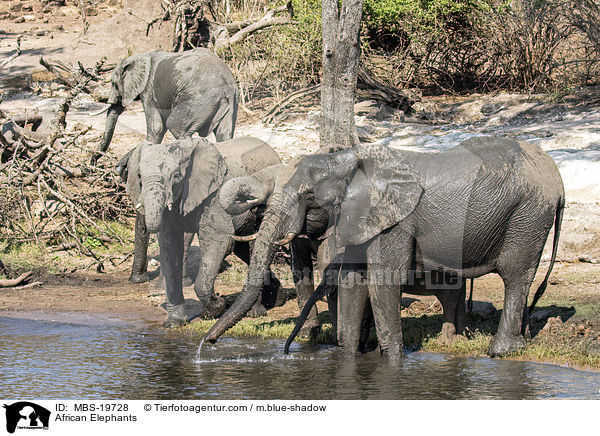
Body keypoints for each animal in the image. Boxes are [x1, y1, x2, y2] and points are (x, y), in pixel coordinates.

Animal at [95, 47, 238, 284]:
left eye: (114, 84)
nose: (94, 160)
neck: (140, 56)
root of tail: (226, 81)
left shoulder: (149, 92)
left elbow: (156, 127)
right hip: (230, 105)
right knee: (225, 135)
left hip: (198, 101)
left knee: (177, 127)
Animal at [123, 136, 284, 328]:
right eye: (139, 176)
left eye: (176, 177)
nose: (219, 298)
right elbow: (170, 246)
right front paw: (174, 324)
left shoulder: (214, 199)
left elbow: (216, 240)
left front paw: (215, 308)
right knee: (243, 248)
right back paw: (275, 296)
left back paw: (255, 312)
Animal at [204, 135, 564, 358]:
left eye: (308, 196)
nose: (207, 342)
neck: (346, 159)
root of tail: (558, 182)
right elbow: (353, 280)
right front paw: (349, 357)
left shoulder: (396, 220)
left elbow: (382, 281)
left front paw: (390, 362)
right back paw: (471, 340)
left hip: (528, 214)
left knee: (516, 276)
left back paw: (501, 351)